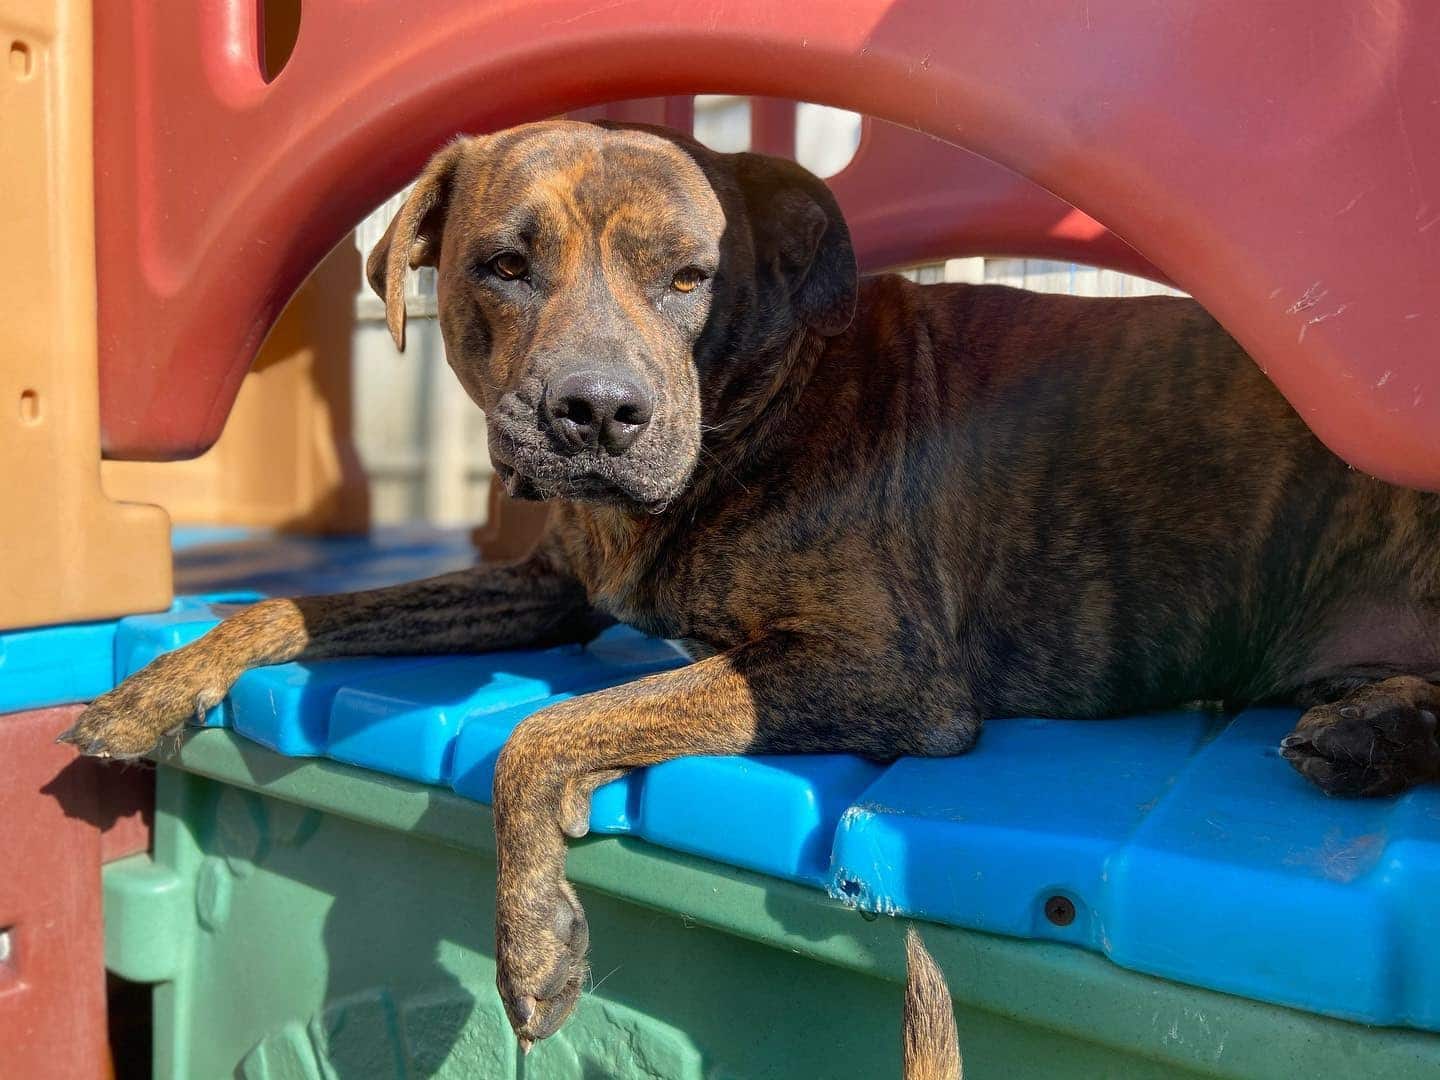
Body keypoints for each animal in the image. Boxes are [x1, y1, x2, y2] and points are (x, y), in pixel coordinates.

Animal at [61, 118, 1440, 1048]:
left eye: (690, 277)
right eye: (503, 263)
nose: (596, 414)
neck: (753, 407)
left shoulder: (875, 671)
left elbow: (545, 733)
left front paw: (534, 941)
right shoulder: (548, 589)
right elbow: (294, 606)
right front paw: (152, 687)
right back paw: (1370, 726)